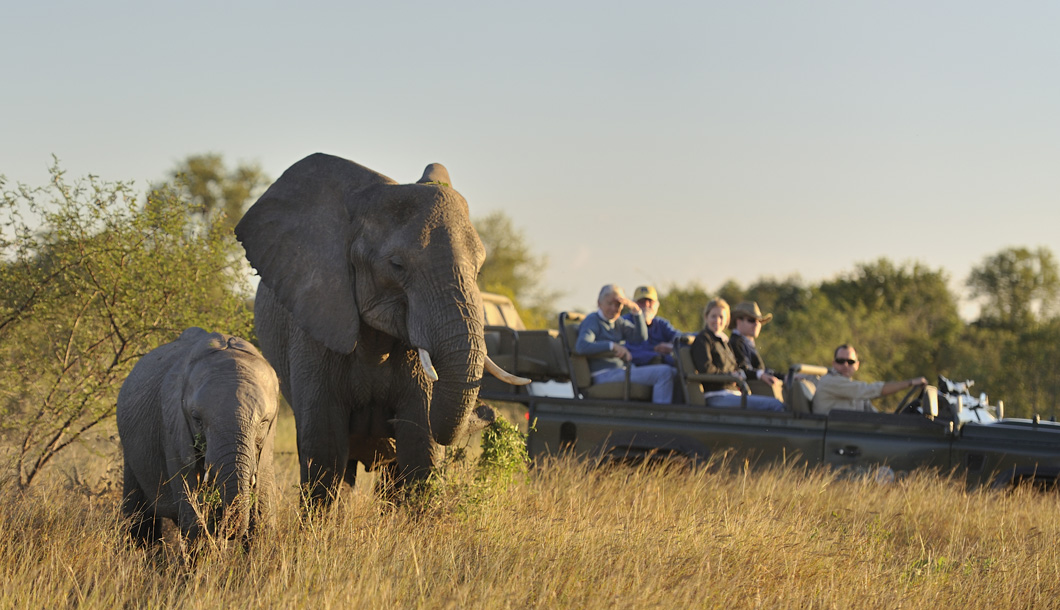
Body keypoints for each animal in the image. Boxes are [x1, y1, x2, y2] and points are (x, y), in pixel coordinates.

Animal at [117, 328, 279, 547]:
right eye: (197, 419)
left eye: (263, 422)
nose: (229, 533)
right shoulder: (173, 430)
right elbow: (193, 518)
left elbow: (262, 521)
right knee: (140, 524)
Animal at [236, 153, 525, 504]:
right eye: (397, 265)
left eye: (479, 269)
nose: (489, 412)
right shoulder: (316, 322)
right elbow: (324, 447)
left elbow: (421, 448)